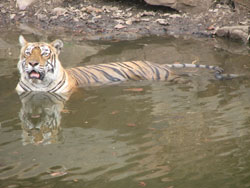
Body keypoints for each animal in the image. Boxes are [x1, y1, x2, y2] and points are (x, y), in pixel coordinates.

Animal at [16, 35, 236, 94]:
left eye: (44, 53)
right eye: (28, 52)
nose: (33, 63)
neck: (39, 84)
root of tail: (151, 60)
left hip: (162, 75)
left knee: (181, 77)